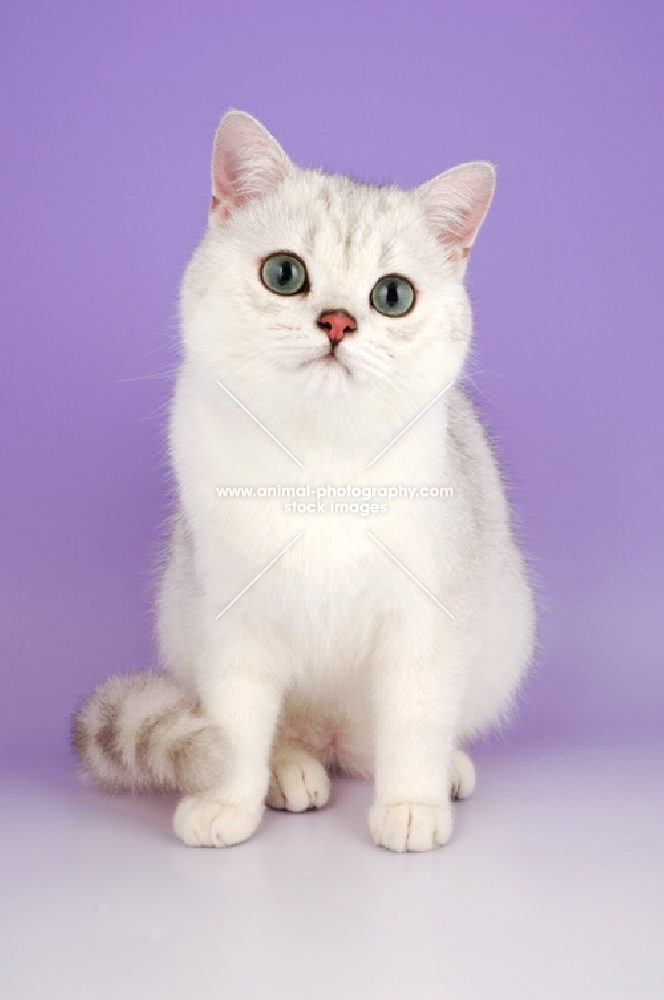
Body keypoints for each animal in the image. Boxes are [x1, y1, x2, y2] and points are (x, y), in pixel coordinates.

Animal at [72, 111, 536, 852]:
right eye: (285, 274)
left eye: (393, 295)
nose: (338, 322)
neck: (320, 463)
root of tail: (335, 739)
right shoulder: (230, 616)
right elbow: (235, 724)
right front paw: (227, 800)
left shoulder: (425, 618)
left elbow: (415, 722)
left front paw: (412, 804)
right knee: (291, 735)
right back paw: (288, 772)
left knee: (385, 741)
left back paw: (442, 773)